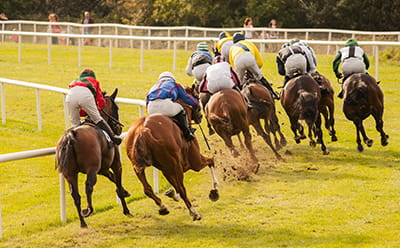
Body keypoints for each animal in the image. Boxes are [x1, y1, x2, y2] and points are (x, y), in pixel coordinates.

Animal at [54, 88, 130, 228]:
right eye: (116, 108)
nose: (118, 129)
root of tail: (70, 135)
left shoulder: (102, 169)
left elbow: (112, 178)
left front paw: (124, 192)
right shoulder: (115, 163)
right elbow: (117, 179)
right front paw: (126, 208)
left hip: (69, 173)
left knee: (75, 195)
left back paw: (83, 222)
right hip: (91, 168)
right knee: (88, 186)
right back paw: (88, 210)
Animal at [125, 87, 219, 221]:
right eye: (196, 97)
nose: (201, 116)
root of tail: (142, 130)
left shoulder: (166, 168)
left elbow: (174, 186)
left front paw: (171, 194)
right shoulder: (194, 162)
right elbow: (211, 161)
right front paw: (215, 189)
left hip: (138, 167)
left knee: (147, 189)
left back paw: (163, 207)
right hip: (175, 164)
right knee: (182, 188)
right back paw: (194, 212)